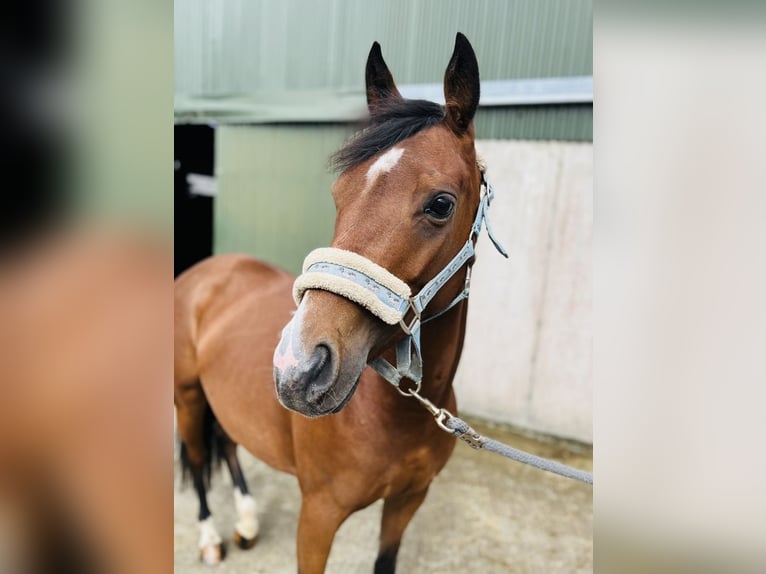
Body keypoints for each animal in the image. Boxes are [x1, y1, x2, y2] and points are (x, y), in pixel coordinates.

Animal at [175, 33, 501, 573]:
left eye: (440, 204)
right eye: (338, 192)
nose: (298, 368)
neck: (394, 416)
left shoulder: (407, 501)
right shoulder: (318, 517)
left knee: (228, 443)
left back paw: (246, 520)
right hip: (187, 396)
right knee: (200, 460)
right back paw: (208, 537)